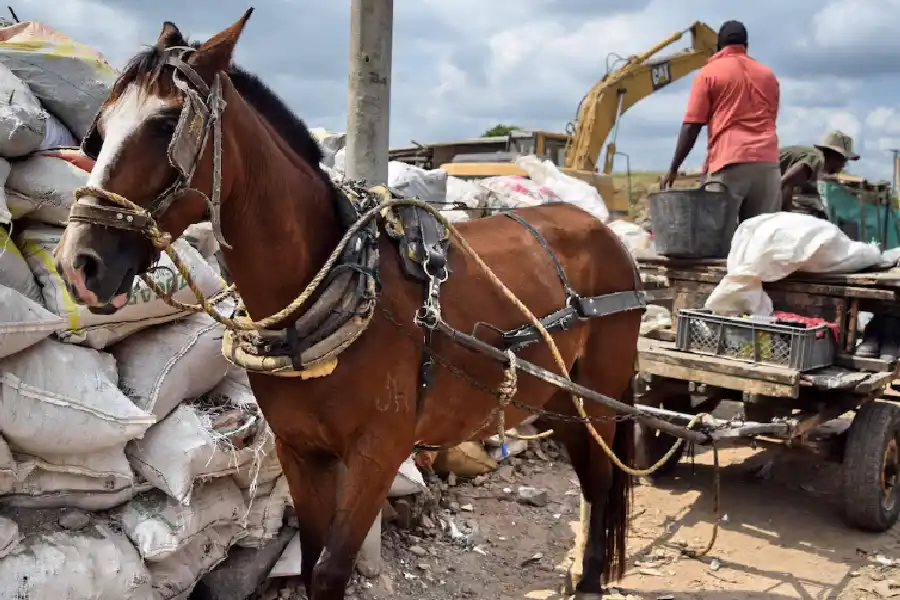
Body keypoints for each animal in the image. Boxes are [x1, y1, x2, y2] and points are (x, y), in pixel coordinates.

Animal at [52, 10, 644, 600]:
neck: (324, 300)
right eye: (99, 132)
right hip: (560, 397)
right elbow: (311, 559)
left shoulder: (378, 453)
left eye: (165, 123)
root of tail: (605, 233)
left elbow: (332, 569)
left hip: (600, 395)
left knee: (600, 481)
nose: (78, 264)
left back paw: (591, 579)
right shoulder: (298, 449)